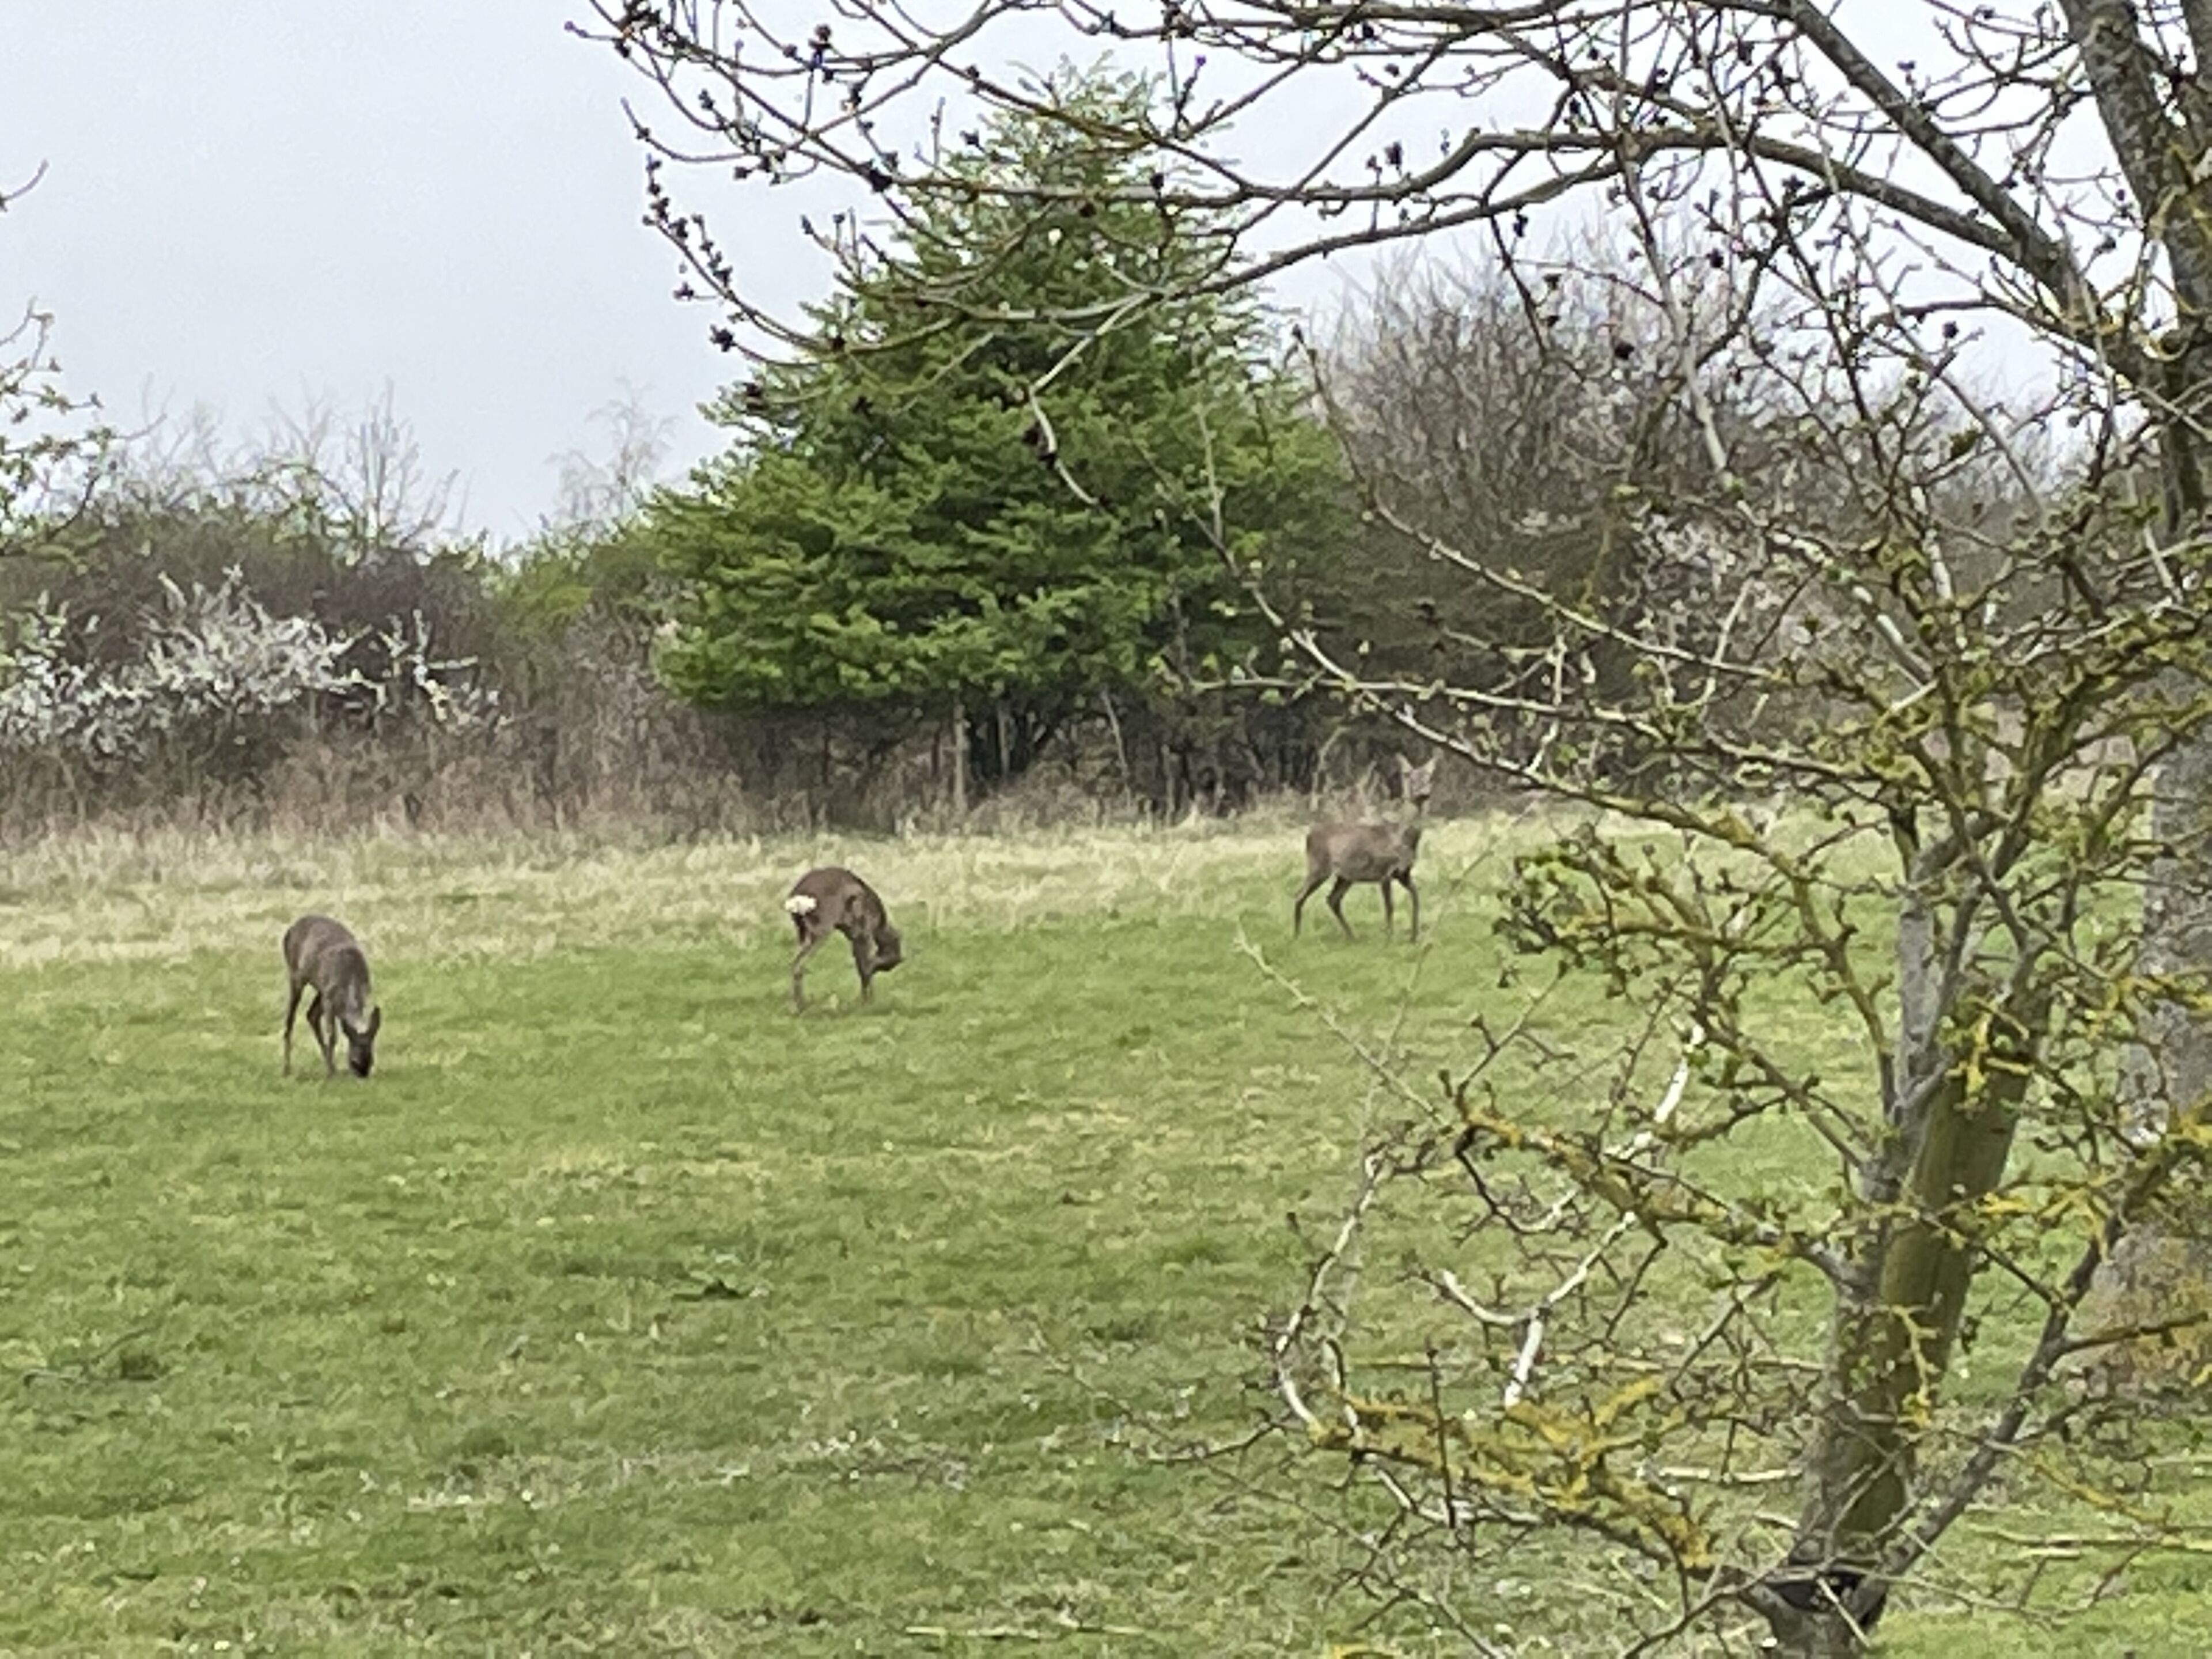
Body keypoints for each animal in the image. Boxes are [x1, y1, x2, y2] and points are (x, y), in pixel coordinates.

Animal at [281, 913, 382, 1078]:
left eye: (372, 1060)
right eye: (354, 1061)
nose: (362, 1074)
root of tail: (291, 929)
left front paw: (331, 1068)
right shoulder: (329, 998)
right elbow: (332, 1036)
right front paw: (329, 1074)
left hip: (320, 988)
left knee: (311, 1015)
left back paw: (331, 1066)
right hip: (296, 976)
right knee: (290, 1019)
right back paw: (287, 1069)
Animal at [784, 866, 904, 1012]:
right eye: (886, 966)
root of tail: (798, 898)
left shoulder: (854, 938)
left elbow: (861, 966)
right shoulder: (863, 934)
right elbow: (865, 967)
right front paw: (867, 1003)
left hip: (803, 933)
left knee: (793, 963)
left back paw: (797, 1006)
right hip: (821, 933)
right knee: (800, 965)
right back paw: (801, 1006)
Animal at [1293, 754, 1438, 942]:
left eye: (1430, 777)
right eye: (1409, 777)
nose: (1424, 794)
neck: (1401, 839)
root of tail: (1309, 835)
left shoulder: (1404, 874)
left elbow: (1416, 898)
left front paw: (1414, 938)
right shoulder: (1385, 872)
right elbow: (1390, 906)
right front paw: (1389, 938)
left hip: (1346, 875)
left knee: (1332, 899)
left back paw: (1352, 937)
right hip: (1318, 866)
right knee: (1299, 895)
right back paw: (1296, 936)